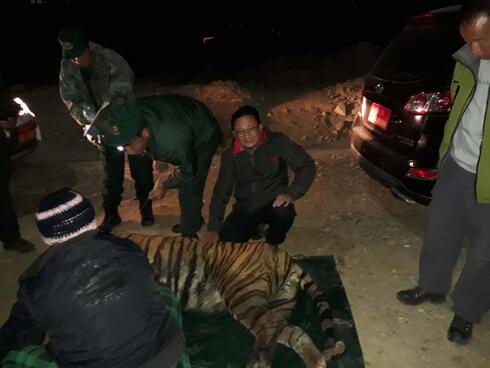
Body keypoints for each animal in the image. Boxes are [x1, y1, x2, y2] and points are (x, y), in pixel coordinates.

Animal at [117, 234, 344, 366]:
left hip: (243, 296)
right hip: (279, 303)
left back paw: (257, 363)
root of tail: (282, 255)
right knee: (290, 331)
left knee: (271, 326)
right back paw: (317, 360)